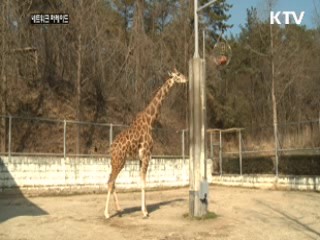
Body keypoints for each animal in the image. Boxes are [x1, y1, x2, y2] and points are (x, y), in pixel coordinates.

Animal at [104, 68, 188, 218]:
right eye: (178, 75)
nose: (186, 79)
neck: (150, 121)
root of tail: (111, 149)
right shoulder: (147, 154)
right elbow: (144, 182)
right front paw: (145, 212)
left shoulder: (141, 157)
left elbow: (140, 181)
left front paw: (144, 209)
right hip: (119, 161)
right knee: (110, 182)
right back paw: (107, 214)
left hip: (116, 161)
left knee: (111, 181)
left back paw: (119, 209)